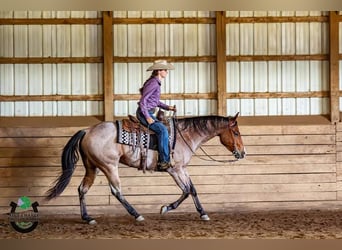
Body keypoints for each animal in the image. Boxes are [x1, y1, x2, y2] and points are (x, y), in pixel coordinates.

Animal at [45, 112, 246, 224]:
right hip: (109, 166)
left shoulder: (183, 169)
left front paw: (202, 213)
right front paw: (166, 208)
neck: (186, 135)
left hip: (92, 167)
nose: (243, 153)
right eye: (236, 132)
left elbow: (192, 189)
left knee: (82, 189)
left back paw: (88, 218)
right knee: (116, 191)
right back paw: (137, 215)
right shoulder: (175, 170)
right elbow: (187, 190)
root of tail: (87, 130)